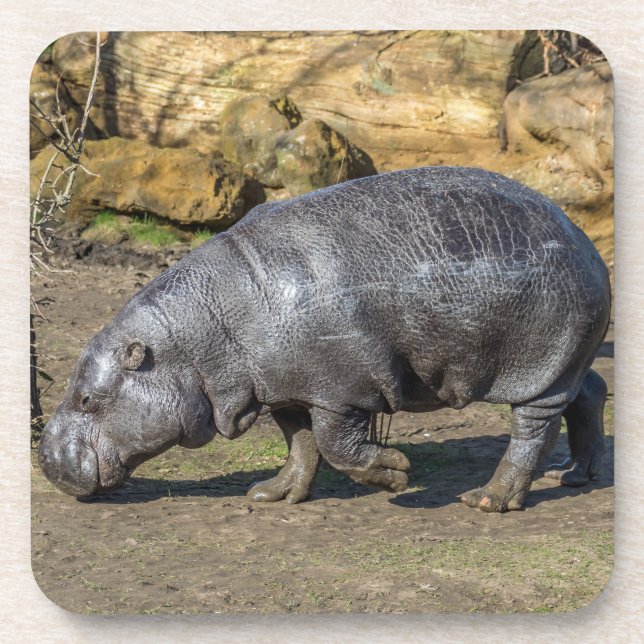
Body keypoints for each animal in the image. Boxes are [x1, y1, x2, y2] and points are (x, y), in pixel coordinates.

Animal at [38, 166, 611, 512]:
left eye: (86, 399)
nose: (44, 458)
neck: (201, 333)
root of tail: (585, 240)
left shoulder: (343, 389)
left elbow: (337, 446)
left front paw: (399, 474)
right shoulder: (285, 388)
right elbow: (301, 443)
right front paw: (271, 494)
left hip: (538, 366)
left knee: (533, 428)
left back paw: (487, 500)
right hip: (566, 361)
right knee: (590, 393)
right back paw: (575, 477)